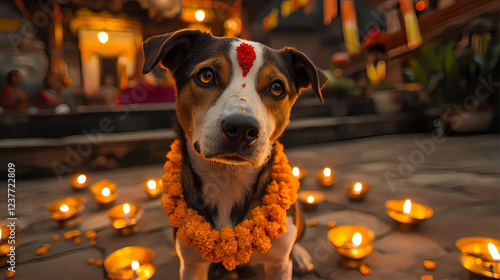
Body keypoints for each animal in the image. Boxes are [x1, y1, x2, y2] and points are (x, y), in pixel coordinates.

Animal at [142, 29, 328, 278]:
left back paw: (299, 255)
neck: (229, 178)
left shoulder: (279, 265)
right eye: (206, 75)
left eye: (277, 88)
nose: (241, 128)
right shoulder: (191, 265)